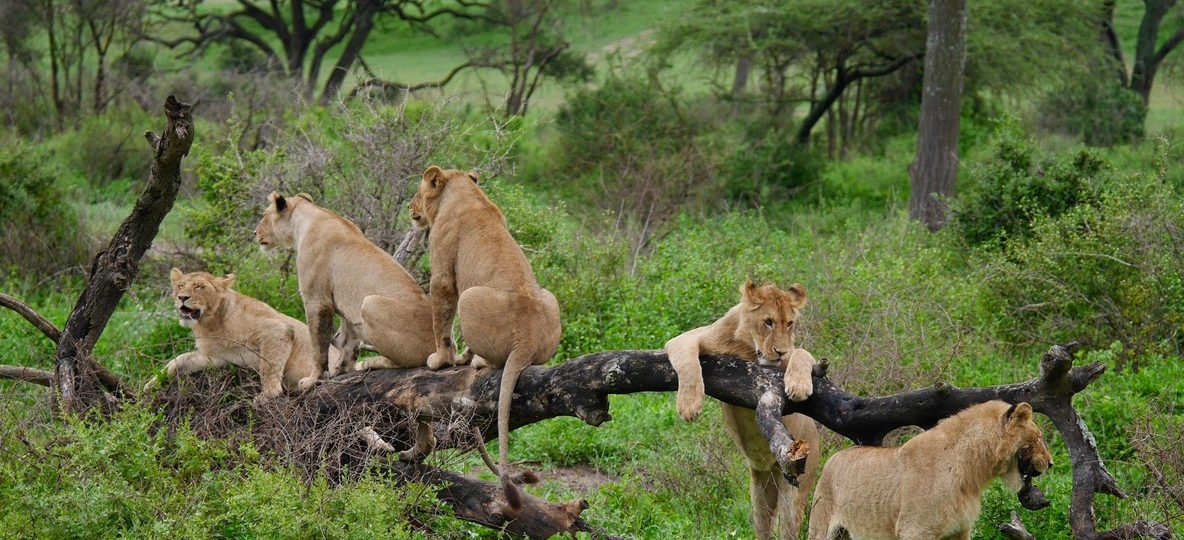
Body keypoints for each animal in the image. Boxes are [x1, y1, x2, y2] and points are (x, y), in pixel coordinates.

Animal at [143, 268, 341, 405]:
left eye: (199, 286)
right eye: (180, 286)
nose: (182, 297)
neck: (210, 324)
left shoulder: (278, 329)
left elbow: (268, 366)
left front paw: (268, 394)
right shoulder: (216, 357)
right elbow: (179, 360)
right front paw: (151, 383)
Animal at [254, 192, 435, 378]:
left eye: (265, 215)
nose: (255, 232)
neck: (304, 221)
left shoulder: (317, 300)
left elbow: (318, 345)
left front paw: (313, 379)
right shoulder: (345, 305)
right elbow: (349, 341)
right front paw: (341, 370)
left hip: (370, 303)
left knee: (407, 362)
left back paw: (371, 362)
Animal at [411, 166, 562, 506]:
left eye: (418, 191)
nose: (410, 208)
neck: (463, 191)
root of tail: (526, 338)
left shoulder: (442, 272)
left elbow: (441, 321)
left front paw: (440, 359)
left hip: (469, 297)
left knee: (494, 361)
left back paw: (475, 361)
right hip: (550, 298)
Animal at [665, 279, 819, 540]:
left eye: (789, 323)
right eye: (768, 322)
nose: (780, 351)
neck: (747, 348)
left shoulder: (789, 358)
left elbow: (802, 352)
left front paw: (798, 385)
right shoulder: (689, 337)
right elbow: (687, 360)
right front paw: (688, 405)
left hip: (795, 490)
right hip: (760, 491)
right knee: (763, 527)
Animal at [807, 400, 1053, 540]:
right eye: (1038, 437)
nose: (1050, 463)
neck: (972, 471)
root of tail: (833, 457)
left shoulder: (960, 531)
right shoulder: (915, 529)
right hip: (820, 526)